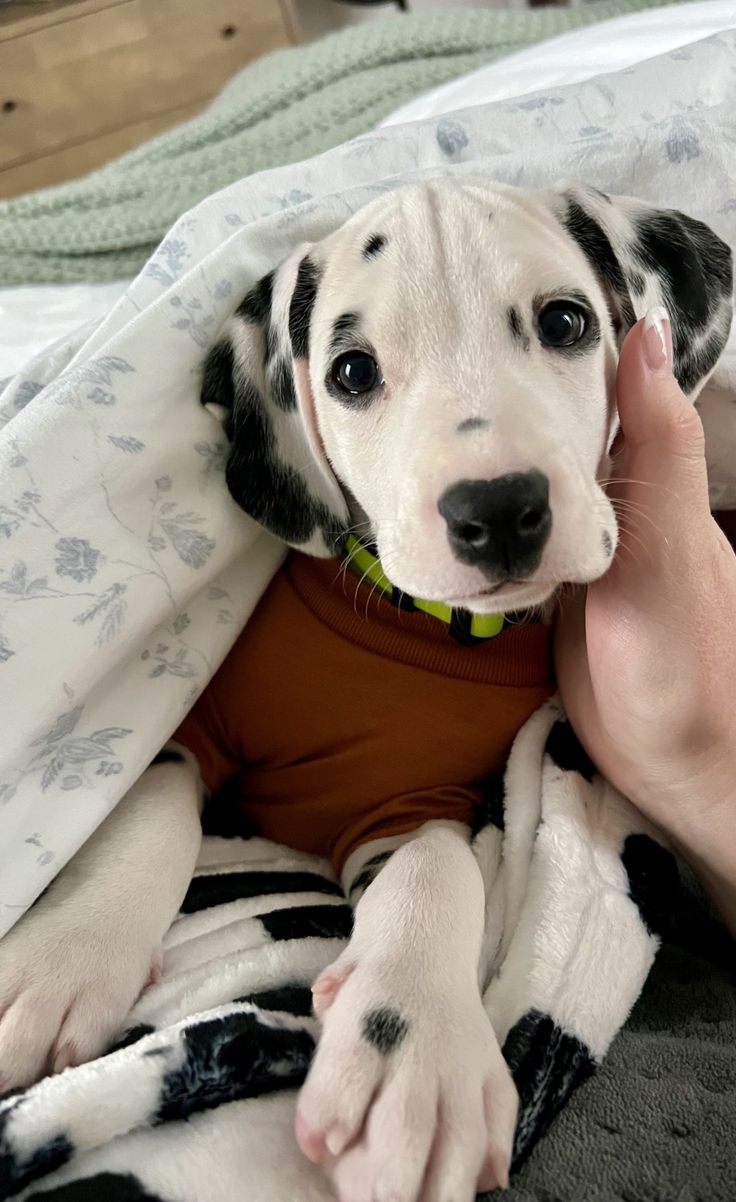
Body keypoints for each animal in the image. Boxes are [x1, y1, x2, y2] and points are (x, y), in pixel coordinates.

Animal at [0, 177, 731, 1202]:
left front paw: (414, 1054)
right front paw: (64, 959)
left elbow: (438, 873)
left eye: (565, 322)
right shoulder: (194, 720)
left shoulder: (412, 804)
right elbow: (152, 810)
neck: (412, 623)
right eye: (351, 372)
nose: (498, 509)